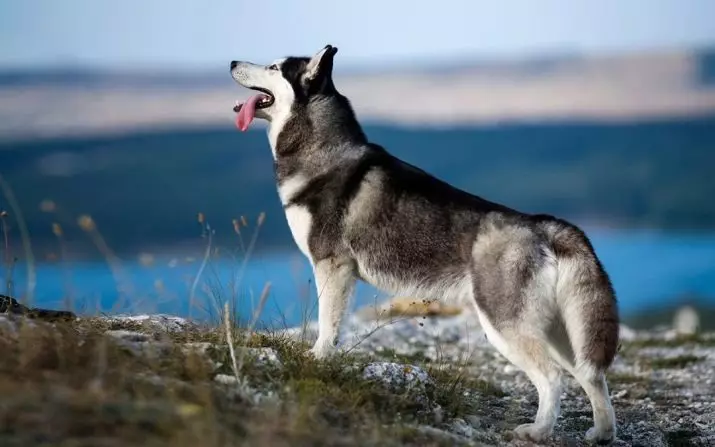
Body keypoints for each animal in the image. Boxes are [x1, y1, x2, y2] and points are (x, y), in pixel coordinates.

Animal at [231, 45, 620, 444]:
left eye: (274, 67)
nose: (231, 63)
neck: (323, 151)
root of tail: (542, 226)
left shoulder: (332, 265)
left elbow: (327, 323)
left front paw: (319, 358)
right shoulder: (343, 272)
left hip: (505, 325)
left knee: (553, 377)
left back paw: (539, 430)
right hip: (561, 331)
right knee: (591, 375)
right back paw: (601, 432)